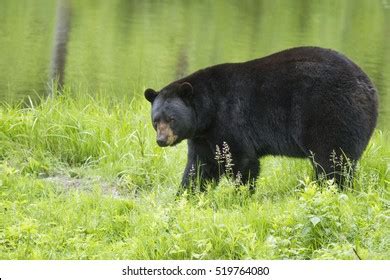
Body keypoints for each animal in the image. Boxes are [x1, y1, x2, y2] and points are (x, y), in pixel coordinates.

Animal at [144, 47, 378, 191]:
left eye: (171, 119)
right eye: (156, 121)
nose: (161, 140)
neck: (208, 111)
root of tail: (369, 87)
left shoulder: (229, 119)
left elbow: (242, 160)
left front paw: (240, 195)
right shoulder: (204, 136)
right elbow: (199, 166)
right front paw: (185, 195)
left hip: (331, 114)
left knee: (333, 160)